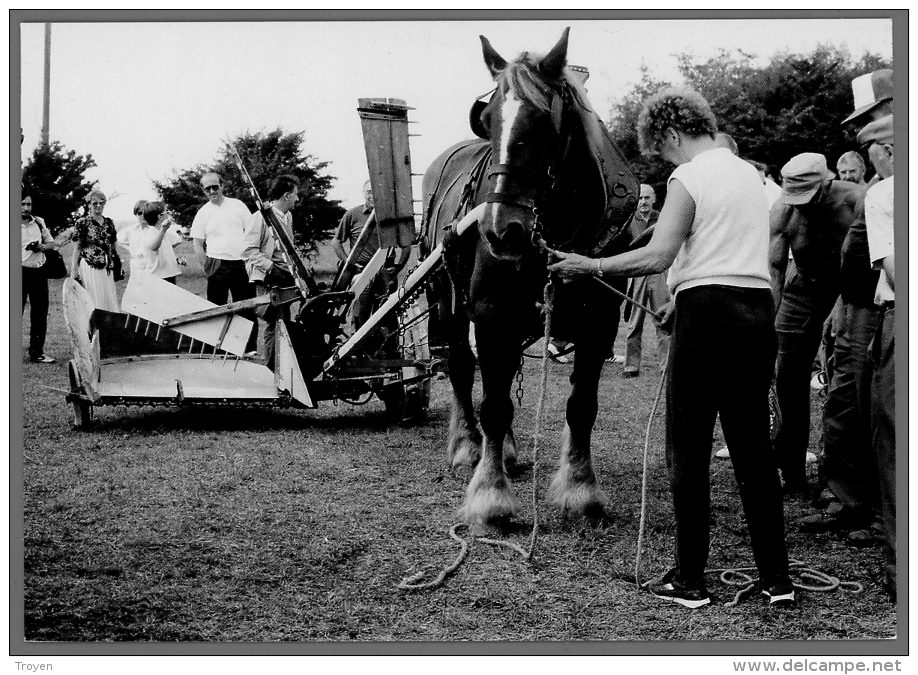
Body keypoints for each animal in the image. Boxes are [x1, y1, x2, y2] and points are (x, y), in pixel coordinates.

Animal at [422, 29, 640, 528]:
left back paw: (504, 450)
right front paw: (490, 495)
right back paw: (469, 446)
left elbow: (581, 408)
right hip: (446, 301)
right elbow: (494, 405)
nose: (501, 229)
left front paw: (581, 489)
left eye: (544, 119)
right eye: (487, 119)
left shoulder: (599, 327)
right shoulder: (489, 315)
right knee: (463, 368)